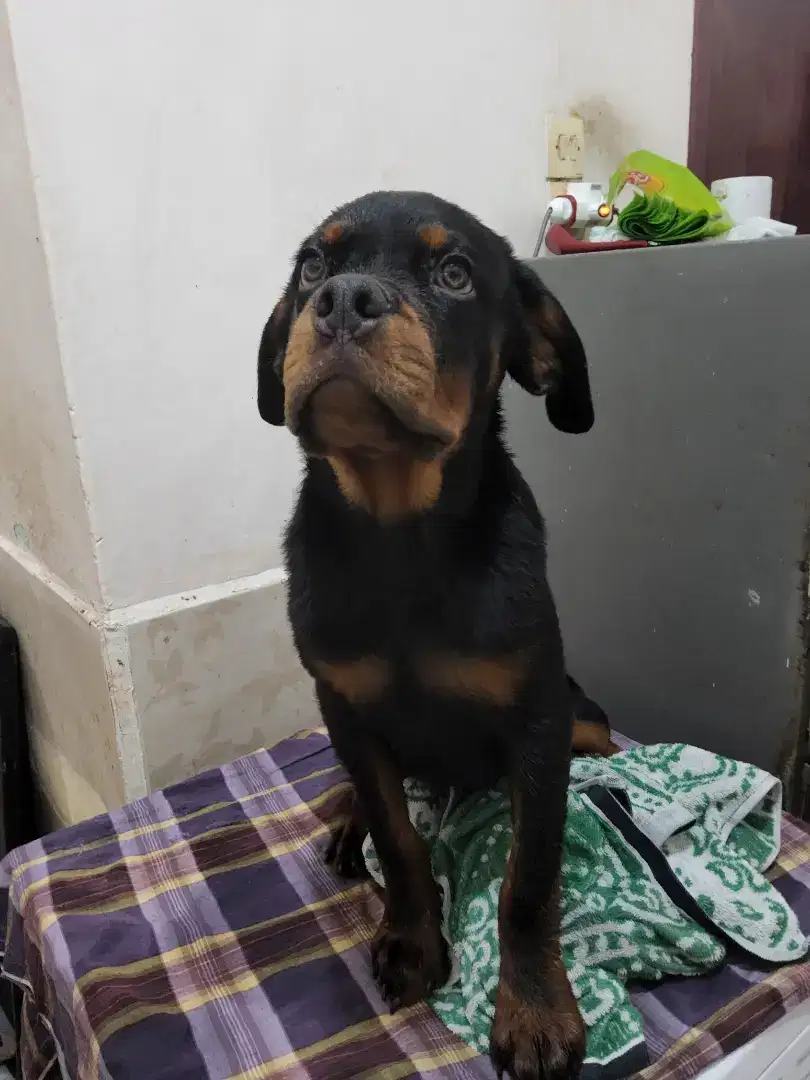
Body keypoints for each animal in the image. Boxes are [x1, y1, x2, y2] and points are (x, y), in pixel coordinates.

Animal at [260, 190, 613, 1075]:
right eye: (311, 265)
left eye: (453, 274)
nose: (342, 300)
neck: (400, 536)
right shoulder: (346, 709)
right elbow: (400, 840)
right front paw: (413, 941)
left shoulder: (537, 721)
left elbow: (529, 879)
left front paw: (534, 1008)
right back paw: (343, 816)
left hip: (578, 712)